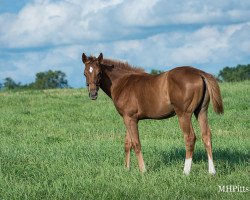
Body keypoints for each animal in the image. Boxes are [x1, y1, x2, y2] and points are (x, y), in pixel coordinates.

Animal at [81, 52, 224, 174]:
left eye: (99, 72)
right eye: (85, 73)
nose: (93, 94)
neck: (123, 83)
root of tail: (199, 73)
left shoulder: (130, 118)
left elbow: (136, 143)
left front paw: (143, 170)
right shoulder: (128, 118)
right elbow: (127, 143)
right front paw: (127, 169)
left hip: (184, 114)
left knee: (190, 137)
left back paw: (186, 172)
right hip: (201, 111)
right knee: (206, 136)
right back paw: (212, 171)